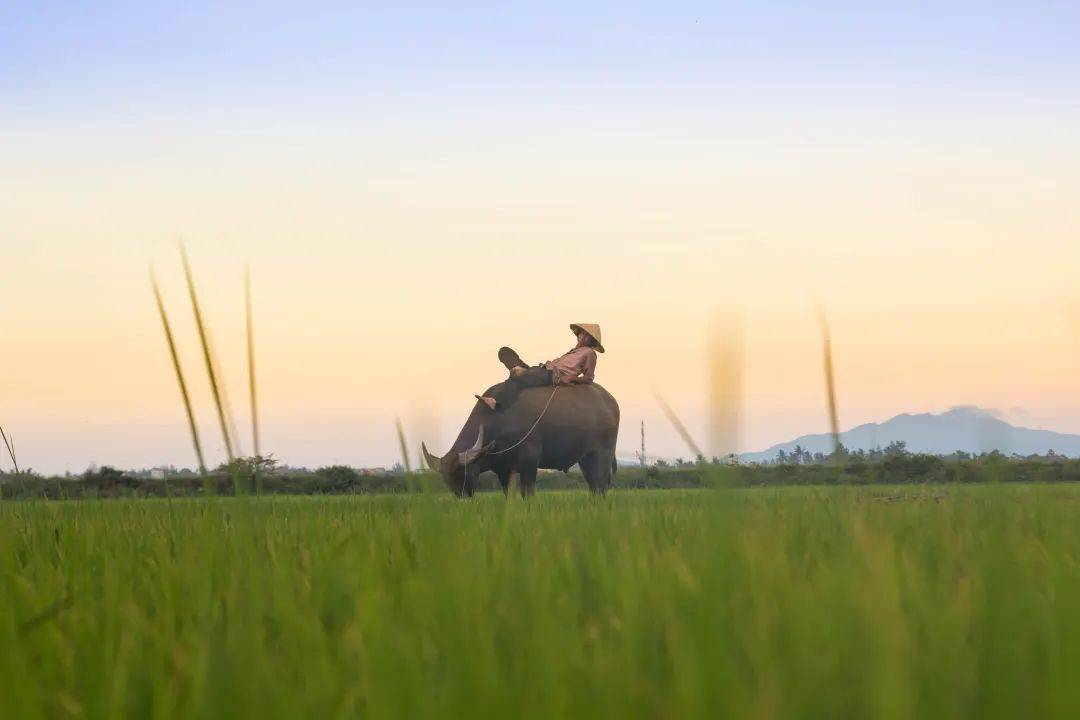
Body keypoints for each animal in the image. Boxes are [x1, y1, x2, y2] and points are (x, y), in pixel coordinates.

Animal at [423, 382, 622, 496]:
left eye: (463, 473)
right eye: (446, 479)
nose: (462, 497)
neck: (498, 419)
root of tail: (610, 401)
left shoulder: (529, 461)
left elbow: (527, 492)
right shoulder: (502, 469)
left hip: (603, 453)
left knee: (601, 484)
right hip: (585, 458)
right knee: (594, 486)